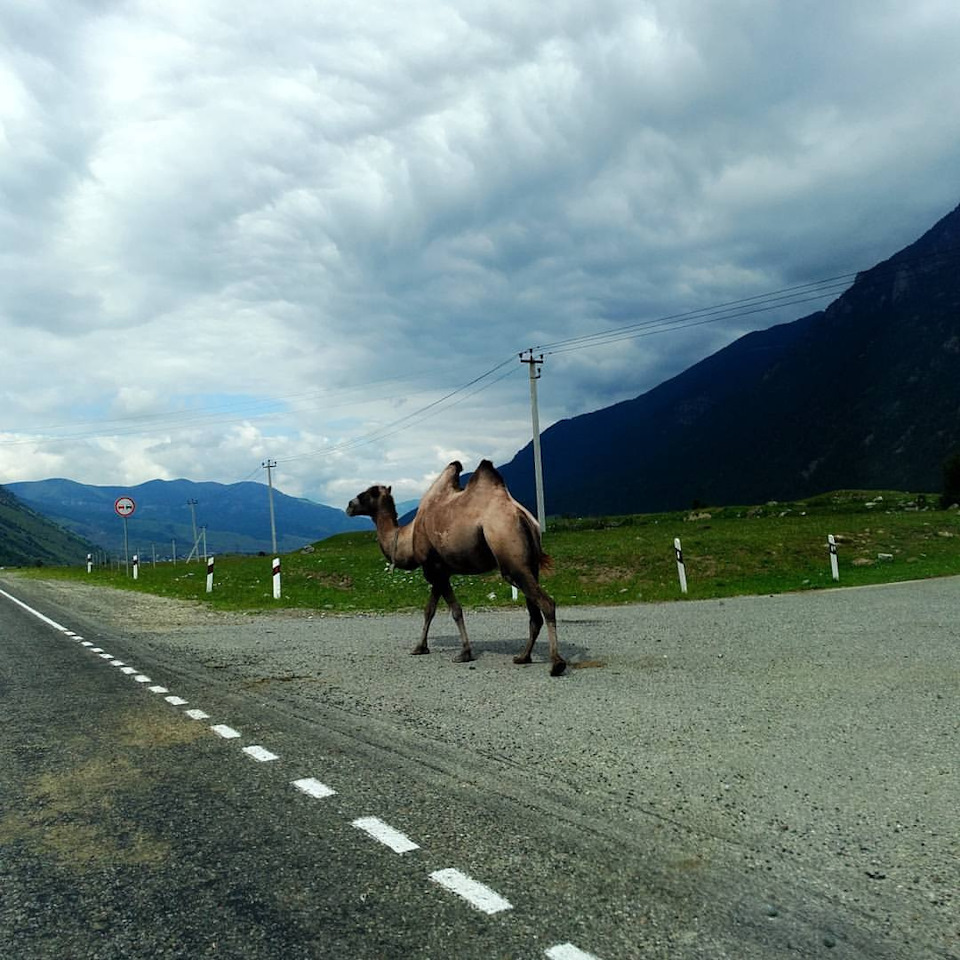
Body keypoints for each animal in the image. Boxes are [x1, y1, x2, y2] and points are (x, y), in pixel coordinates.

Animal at [346, 460, 568, 676]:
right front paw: (420, 647)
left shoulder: (433, 569)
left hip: (510, 554)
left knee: (546, 603)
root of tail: (524, 517)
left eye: (367, 493)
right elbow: (429, 610)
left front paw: (465, 653)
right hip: (529, 565)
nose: (349, 505)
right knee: (534, 613)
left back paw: (556, 663)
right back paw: (523, 657)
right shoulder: (439, 572)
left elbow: (455, 610)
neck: (407, 539)